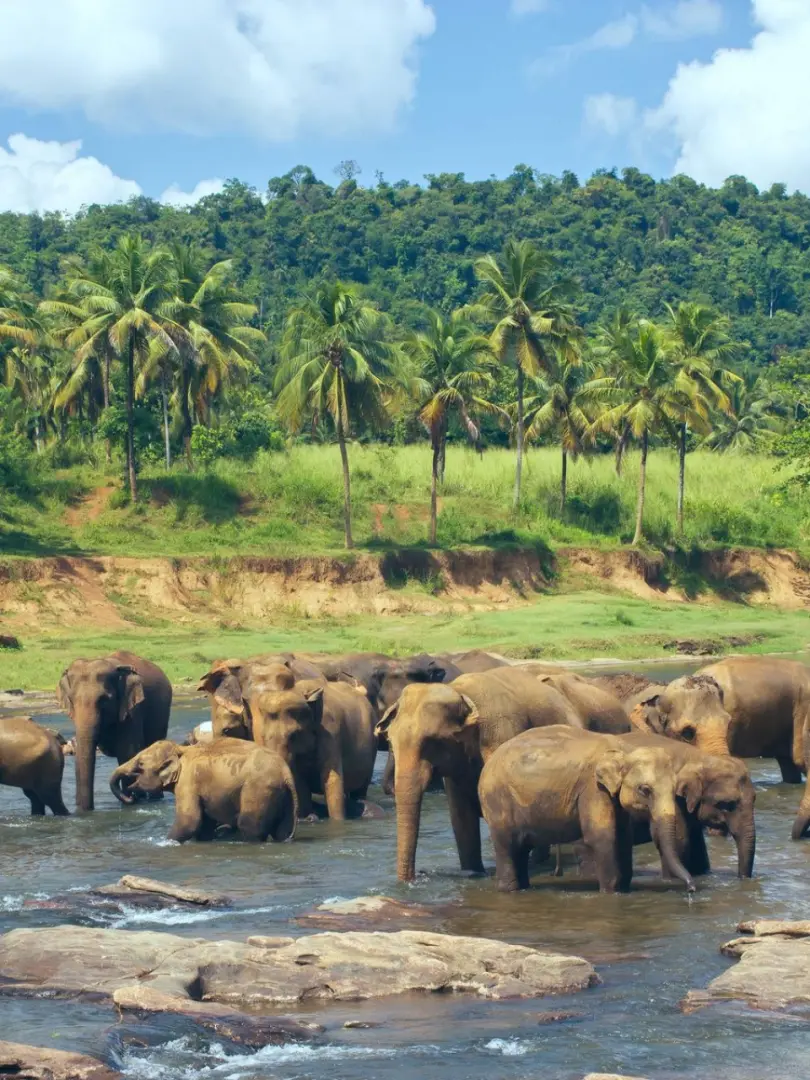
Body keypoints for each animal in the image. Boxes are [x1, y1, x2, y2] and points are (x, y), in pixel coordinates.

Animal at [110, 738, 297, 842]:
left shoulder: (187, 781)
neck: (181, 750)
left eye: (140, 765)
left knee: (250, 827)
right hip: (283, 795)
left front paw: (165, 842)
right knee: (282, 832)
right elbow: (204, 825)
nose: (131, 797)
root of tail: (286, 772)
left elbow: (190, 821)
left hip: (258, 789)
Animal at [243, 677, 376, 820]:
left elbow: (331, 779)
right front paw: (308, 816)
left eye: (293, 735)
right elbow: (299, 781)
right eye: (262, 736)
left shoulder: (331, 733)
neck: (299, 691)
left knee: (360, 789)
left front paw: (338, 821)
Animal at [375, 667, 584, 881]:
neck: (460, 692)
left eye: (431, 742)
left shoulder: (501, 735)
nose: (415, 877)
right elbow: (461, 817)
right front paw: (473, 872)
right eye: (390, 741)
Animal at [478, 725, 696, 893]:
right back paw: (510, 890)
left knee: (521, 849)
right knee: (507, 846)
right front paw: (611, 892)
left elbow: (624, 837)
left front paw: (624, 889)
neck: (623, 750)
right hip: (497, 802)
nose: (691, 888)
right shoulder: (593, 788)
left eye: (675, 788)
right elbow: (602, 836)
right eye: (645, 790)